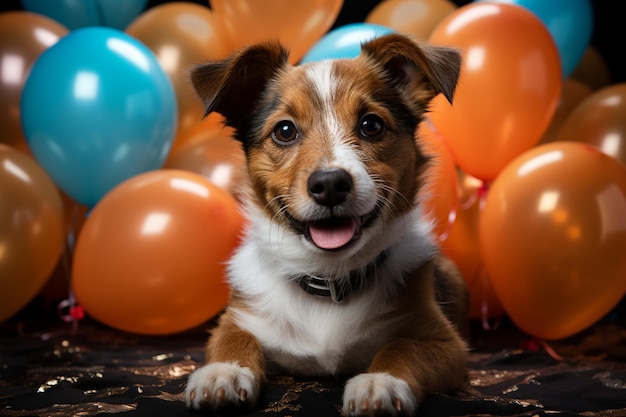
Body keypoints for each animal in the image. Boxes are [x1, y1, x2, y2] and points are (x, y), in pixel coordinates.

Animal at [183, 33, 466, 416]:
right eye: (285, 130)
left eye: (371, 125)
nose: (330, 183)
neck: (328, 276)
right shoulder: (237, 319)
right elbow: (234, 338)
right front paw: (223, 372)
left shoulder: (447, 345)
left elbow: (402, 347)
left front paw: (381, 381)